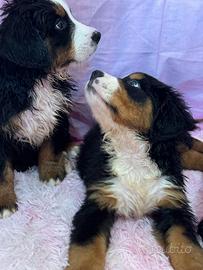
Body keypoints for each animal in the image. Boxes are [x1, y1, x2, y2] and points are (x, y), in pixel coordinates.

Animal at [0, 0, 101, 217]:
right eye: (60, 25)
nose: (98, 35)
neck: (38, 78)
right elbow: (3, 169)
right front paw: (4, 201)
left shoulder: (57, 110)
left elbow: (51, 146)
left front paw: (51, 173)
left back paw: (72, 149)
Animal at [67, 71, 203, 270]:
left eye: (134, 84)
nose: (95, 72)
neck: (131, 151)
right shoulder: (98, 202)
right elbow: (86, 252)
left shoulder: (172, 203)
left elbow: (189, 248)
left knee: (189, 144)